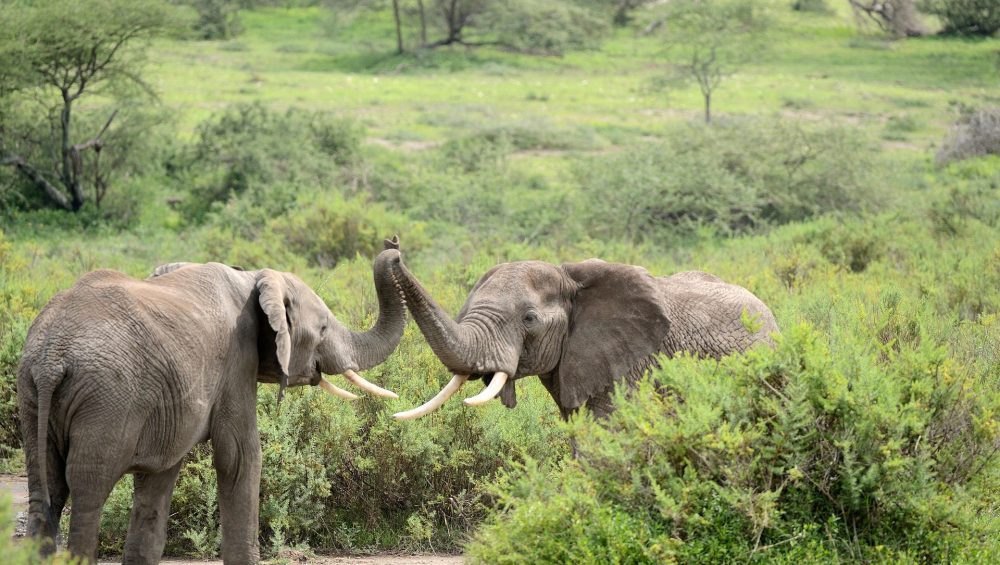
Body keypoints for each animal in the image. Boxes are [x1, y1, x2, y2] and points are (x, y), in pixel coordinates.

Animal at [17, 240, 406, 564]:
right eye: (323, 328)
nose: (394, 247)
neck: (253, 278)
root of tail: (52, 356)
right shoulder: (237, 358)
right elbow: (240, 456)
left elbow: (159, 478)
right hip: (107, 398)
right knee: (88, 491)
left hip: (33, 395)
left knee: (45, 491)